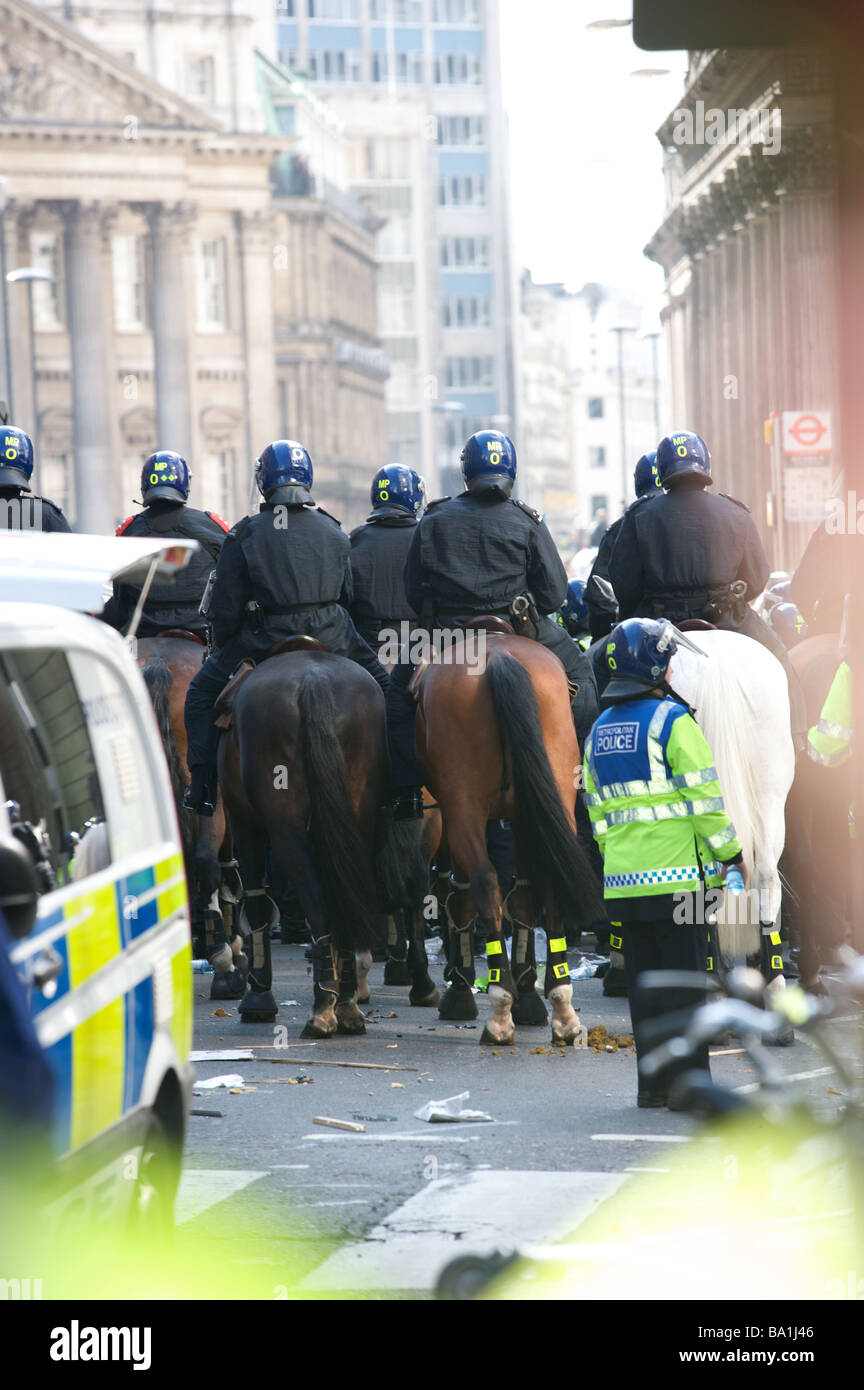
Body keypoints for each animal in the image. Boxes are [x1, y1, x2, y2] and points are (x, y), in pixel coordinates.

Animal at [219, 642, 386, 1034]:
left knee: (317, 900)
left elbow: (257, 900)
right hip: (357, 821)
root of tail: (314, 679)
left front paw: (258, 995)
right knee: (343, 896)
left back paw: (323, 1008)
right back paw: (346, 1005)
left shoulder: (245, 821)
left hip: (285, 826)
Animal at [391, 628, 602, 1045]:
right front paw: (529, 997)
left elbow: (457, 898)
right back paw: (561, 1006)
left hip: (463, 809)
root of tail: (500, 657)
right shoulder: (524, 816)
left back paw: (500, 1005)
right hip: (550, 797)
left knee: (482, 884)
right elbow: (522, 897)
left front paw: (461, 987)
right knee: (548, 879)